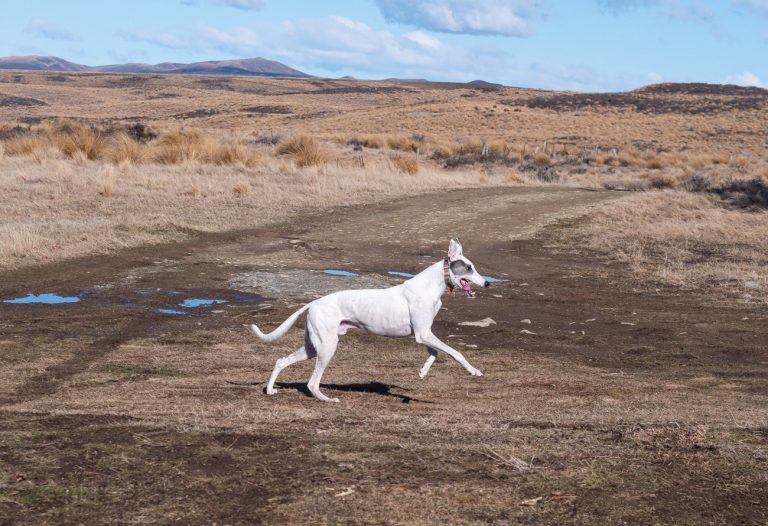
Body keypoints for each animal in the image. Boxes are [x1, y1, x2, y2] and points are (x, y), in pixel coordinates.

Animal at [252, 241, 492, 402]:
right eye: (468, 268)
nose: (487, 283)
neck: (432, 285)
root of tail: (314, 303)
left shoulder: (423, 333)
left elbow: (435, 353)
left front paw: (423, 372)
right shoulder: (423, 334)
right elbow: (455, 353)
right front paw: (473, 371)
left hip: (312, 347)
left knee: (281, 361)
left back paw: (271, 390)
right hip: (327, 347)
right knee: (312, 383)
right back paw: (327, 399)